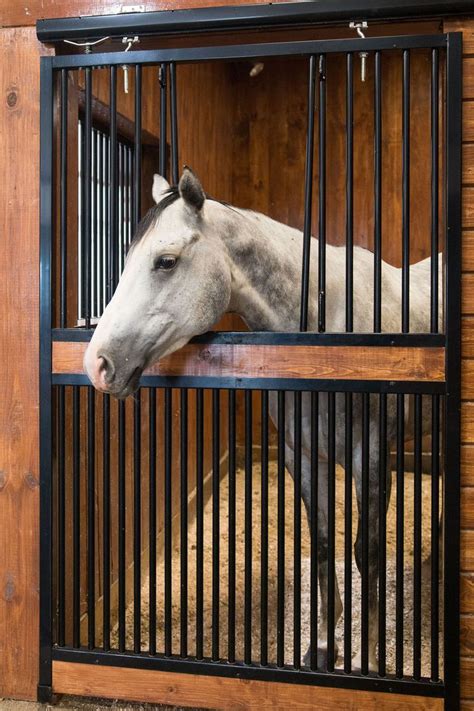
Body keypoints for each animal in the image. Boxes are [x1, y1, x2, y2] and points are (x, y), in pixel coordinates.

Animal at [84, 168, 436, 672]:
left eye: (165, 261)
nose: (97, 364)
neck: (325, 329)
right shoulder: (302, 455)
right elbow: (322, 543)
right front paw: (323, 647)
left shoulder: (370, 459)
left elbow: (365, 552)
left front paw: (367, 661)